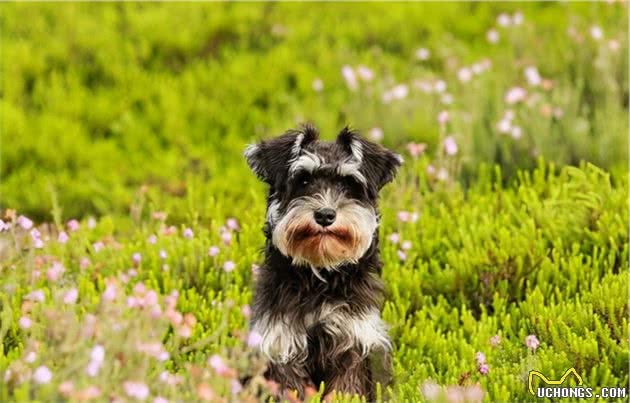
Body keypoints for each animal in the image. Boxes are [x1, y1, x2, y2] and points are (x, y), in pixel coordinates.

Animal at [244, 124, 402, 400]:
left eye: (349, 183)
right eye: (303, 180)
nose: (325, 215)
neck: (320, 275)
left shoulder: (354, 344)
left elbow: (345, 390)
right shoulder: (281, 345)